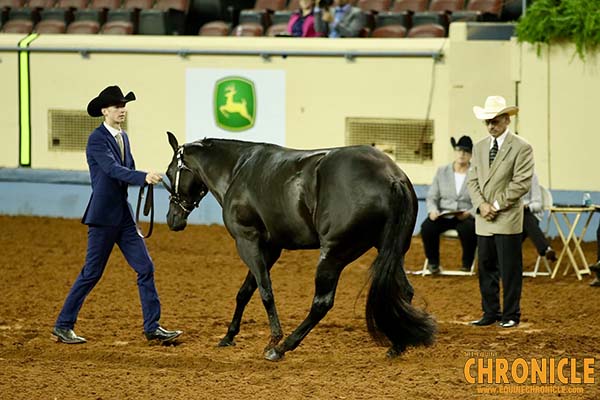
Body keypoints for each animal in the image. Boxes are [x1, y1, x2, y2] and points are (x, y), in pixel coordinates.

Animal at [164, 133, 436, 360]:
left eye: (169, 172)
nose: (172, 219)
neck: (238, 169)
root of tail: (391, 177)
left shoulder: (248, 241)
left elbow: (264, 291)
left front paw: (274, 338)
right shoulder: (269, 247)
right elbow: (245, 292)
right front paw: (228, 336)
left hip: (333, 255)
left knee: (321, 303)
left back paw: (282, 348)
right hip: (391, 250)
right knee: (404, 291)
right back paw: (398, 344)